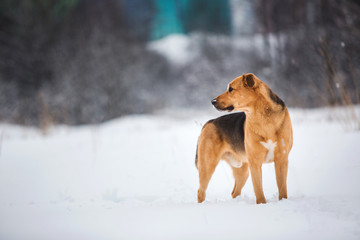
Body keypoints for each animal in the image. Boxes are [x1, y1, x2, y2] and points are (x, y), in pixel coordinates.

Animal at [194, 72, 292, 203]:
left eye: (230, 89)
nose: (212, 101)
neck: (263, 117)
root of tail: (209, 122)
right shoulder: (255, 162)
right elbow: (258, 189)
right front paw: (262, 204)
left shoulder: (282, 159)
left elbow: (282, 189)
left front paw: (283, 202)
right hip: (207, 166)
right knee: (201, 191)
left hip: (243, 171)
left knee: (234, 192)